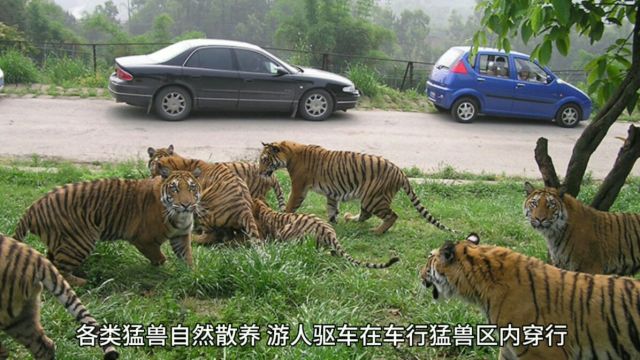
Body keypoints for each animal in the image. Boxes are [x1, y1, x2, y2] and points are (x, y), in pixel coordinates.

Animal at [13, 167, 201, 286]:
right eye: (175, 189)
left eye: (192, 188)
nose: (186, 204)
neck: (180, 216)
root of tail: (33, 208)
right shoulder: (144, 240)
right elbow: (160, 257)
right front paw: (164, 270)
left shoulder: (181, 236)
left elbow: (187, 257)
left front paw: (191, 274)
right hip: (80, 241)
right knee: (61, 269)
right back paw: (83, 282)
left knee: (52, 263)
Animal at [258, 139, 458, 235]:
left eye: (264, 160)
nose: (259, 172)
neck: (290, 155)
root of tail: (400, 172)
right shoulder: (332, 193)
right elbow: (331, 208)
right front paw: (333, 222)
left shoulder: (299, 187)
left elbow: (290, 205)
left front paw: (283, 216)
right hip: (369, 198)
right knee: (365, 215)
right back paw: (350, 219)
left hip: (373, 198)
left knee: (392, 215)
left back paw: (377, 231)